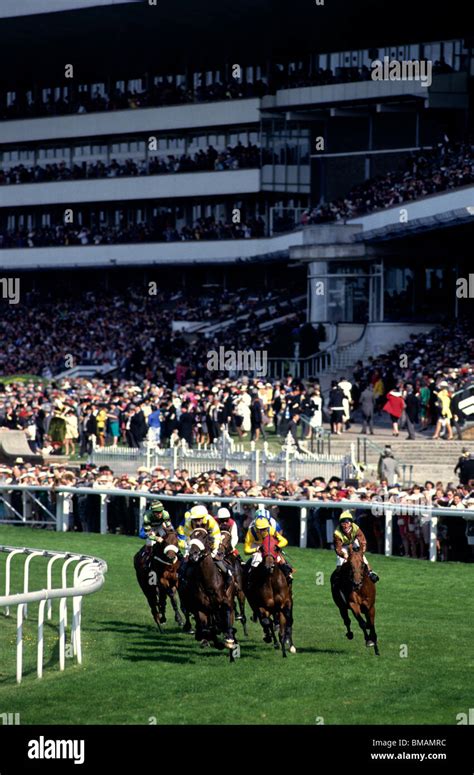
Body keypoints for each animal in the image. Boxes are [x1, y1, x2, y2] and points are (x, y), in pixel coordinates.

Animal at [179, 532, 239, 664]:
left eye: (204, 537)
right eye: (192, 536)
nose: (193, 554)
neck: (209, 582)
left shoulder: (226, 603)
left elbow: (226, 620)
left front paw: (228, 641)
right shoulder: (201, 608)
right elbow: (206, 629)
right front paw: (213, 642)